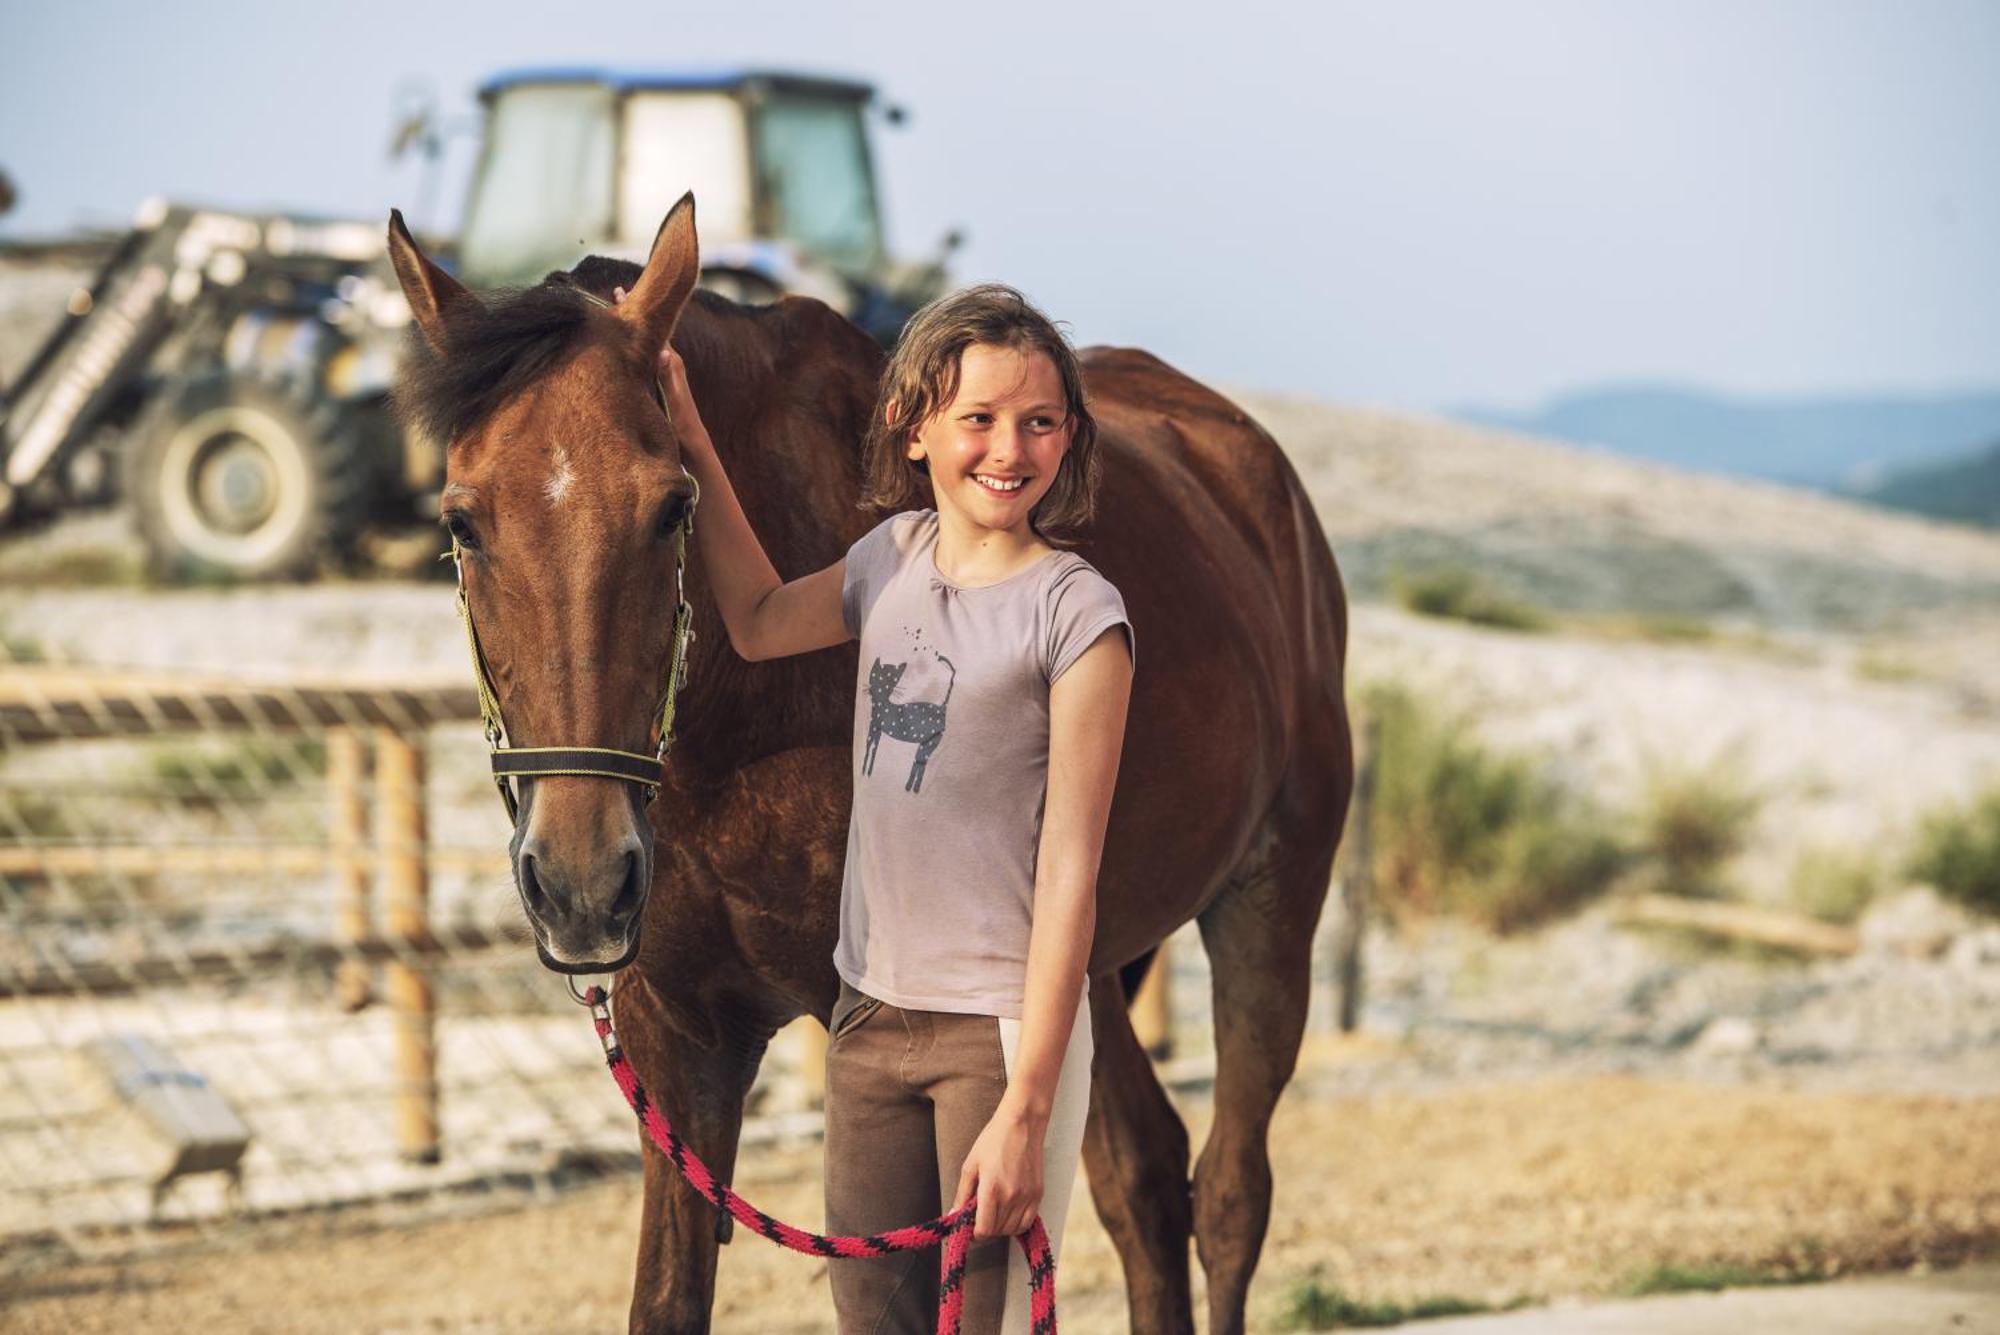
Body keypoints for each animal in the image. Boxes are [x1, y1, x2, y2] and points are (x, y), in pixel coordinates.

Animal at [382, 197, 1352, 1335]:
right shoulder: (682, 1041)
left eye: (671, 508)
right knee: (1145, 1183)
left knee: (1228, 1193)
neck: (739, 729)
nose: (580, 884)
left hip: (1264, 909)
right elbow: (668, 1297)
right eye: (460, 521)